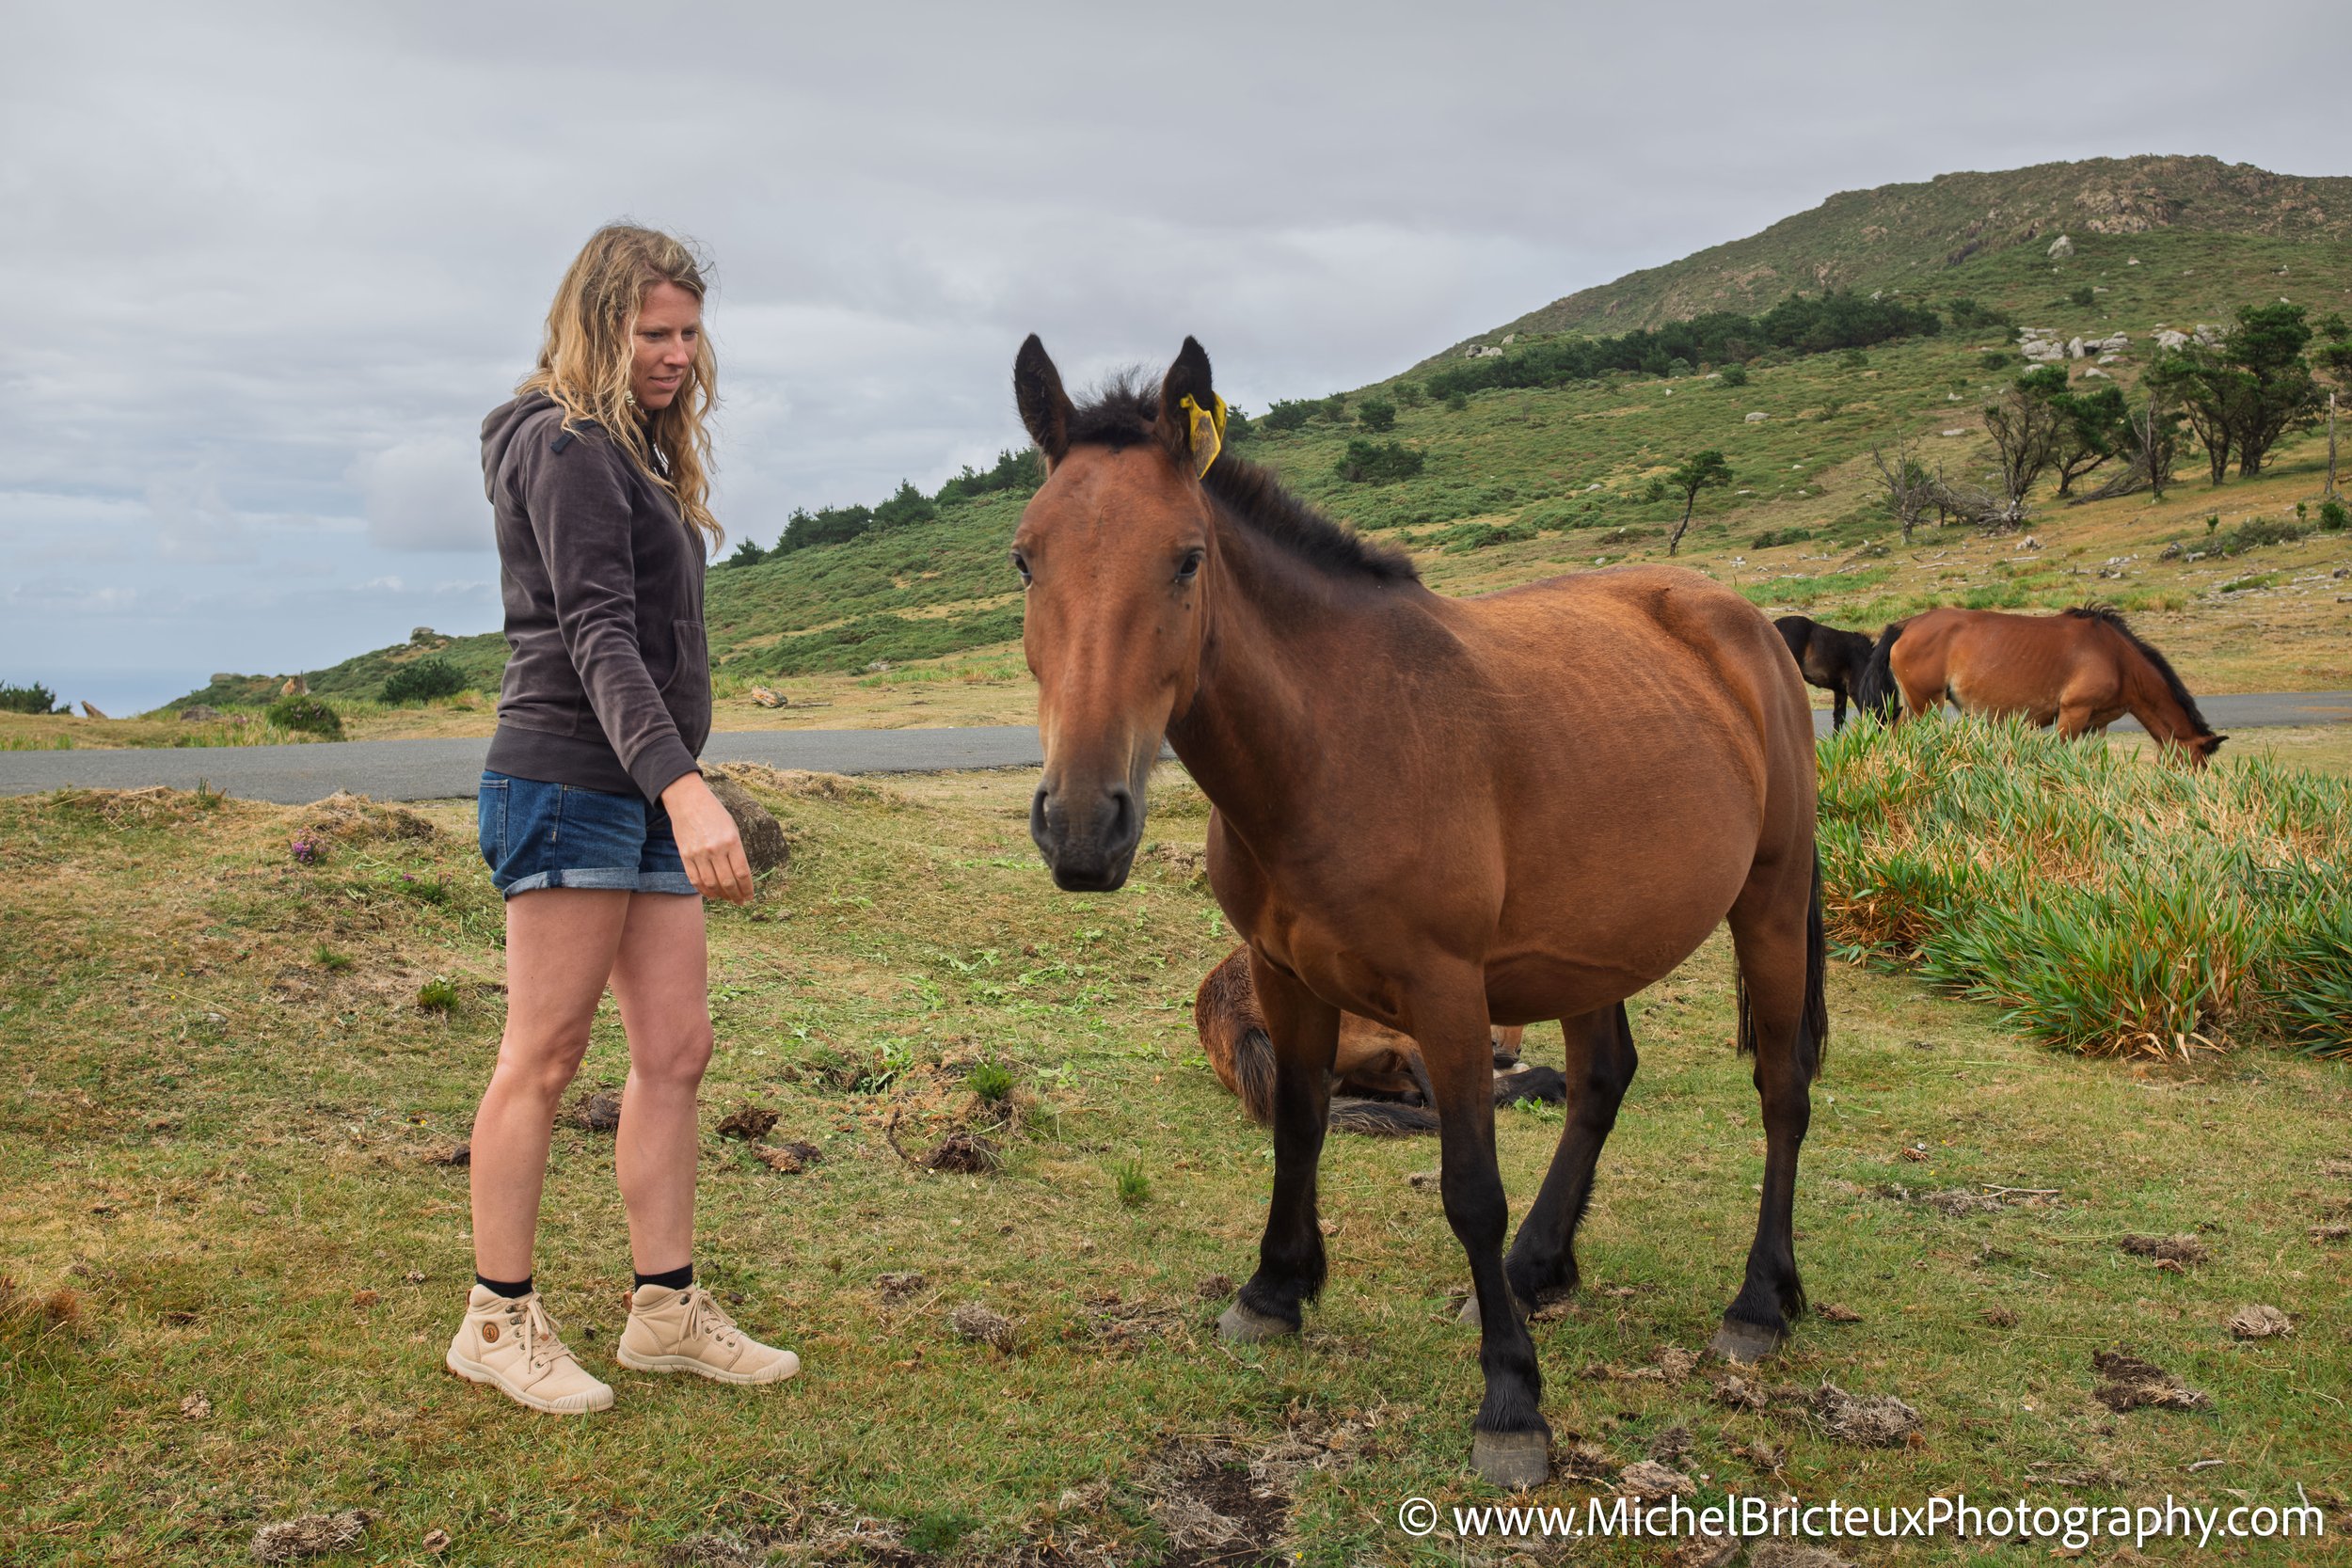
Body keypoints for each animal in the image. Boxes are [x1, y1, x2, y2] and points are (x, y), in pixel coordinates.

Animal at [1856, 605, 2224, 764]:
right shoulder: (2072, 714)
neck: (2117, 658)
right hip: (1924, 706)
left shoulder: (2097, 724)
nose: (2186, 794)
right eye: (2197, 761)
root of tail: (1907, 624)